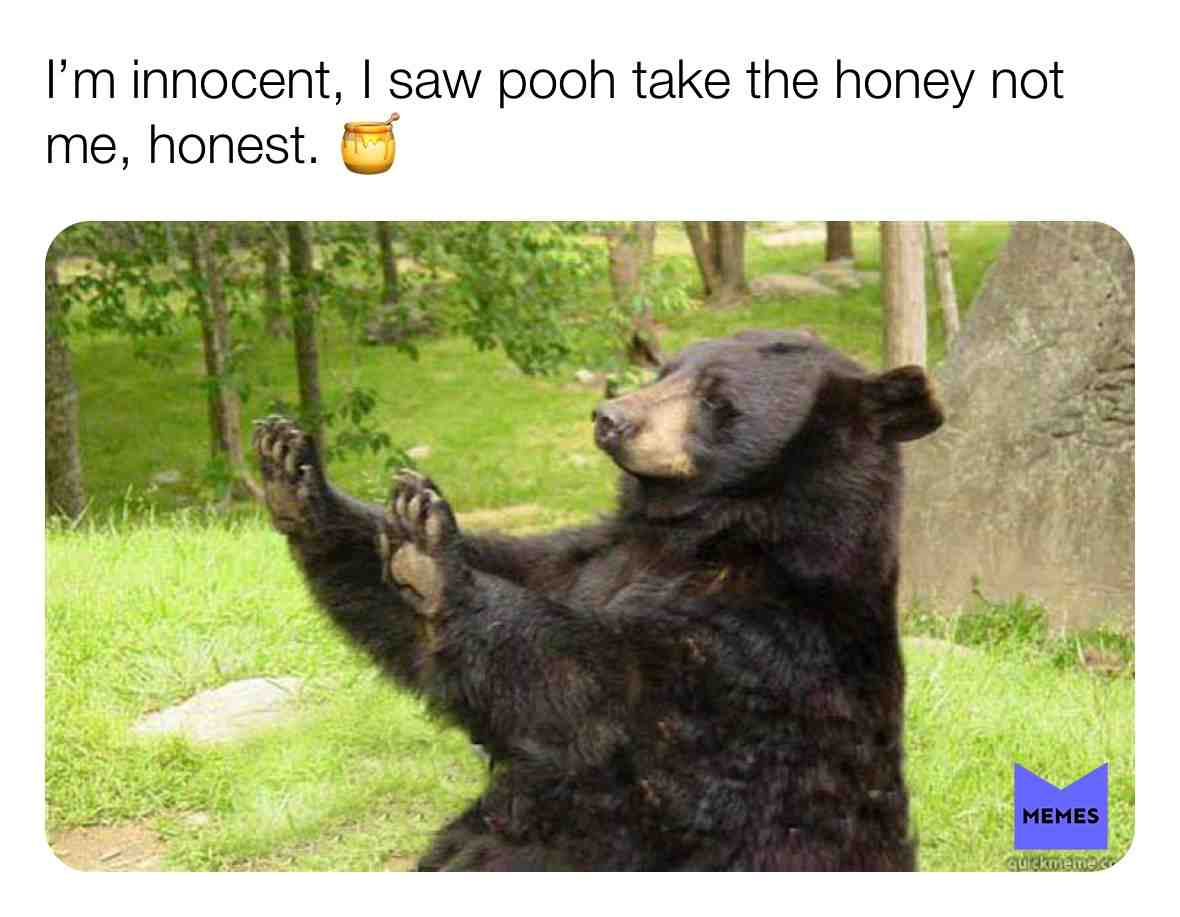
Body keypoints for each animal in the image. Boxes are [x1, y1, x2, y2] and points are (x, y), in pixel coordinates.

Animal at [253, 328, 943, 871]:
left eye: (715, 397)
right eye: (667, 369)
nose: (611, 418)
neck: (698, 534)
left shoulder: (768, 648)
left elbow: (595, 689)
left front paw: (431, 556)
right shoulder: (588, 560)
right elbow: (462, 607)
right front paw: (298, 475)